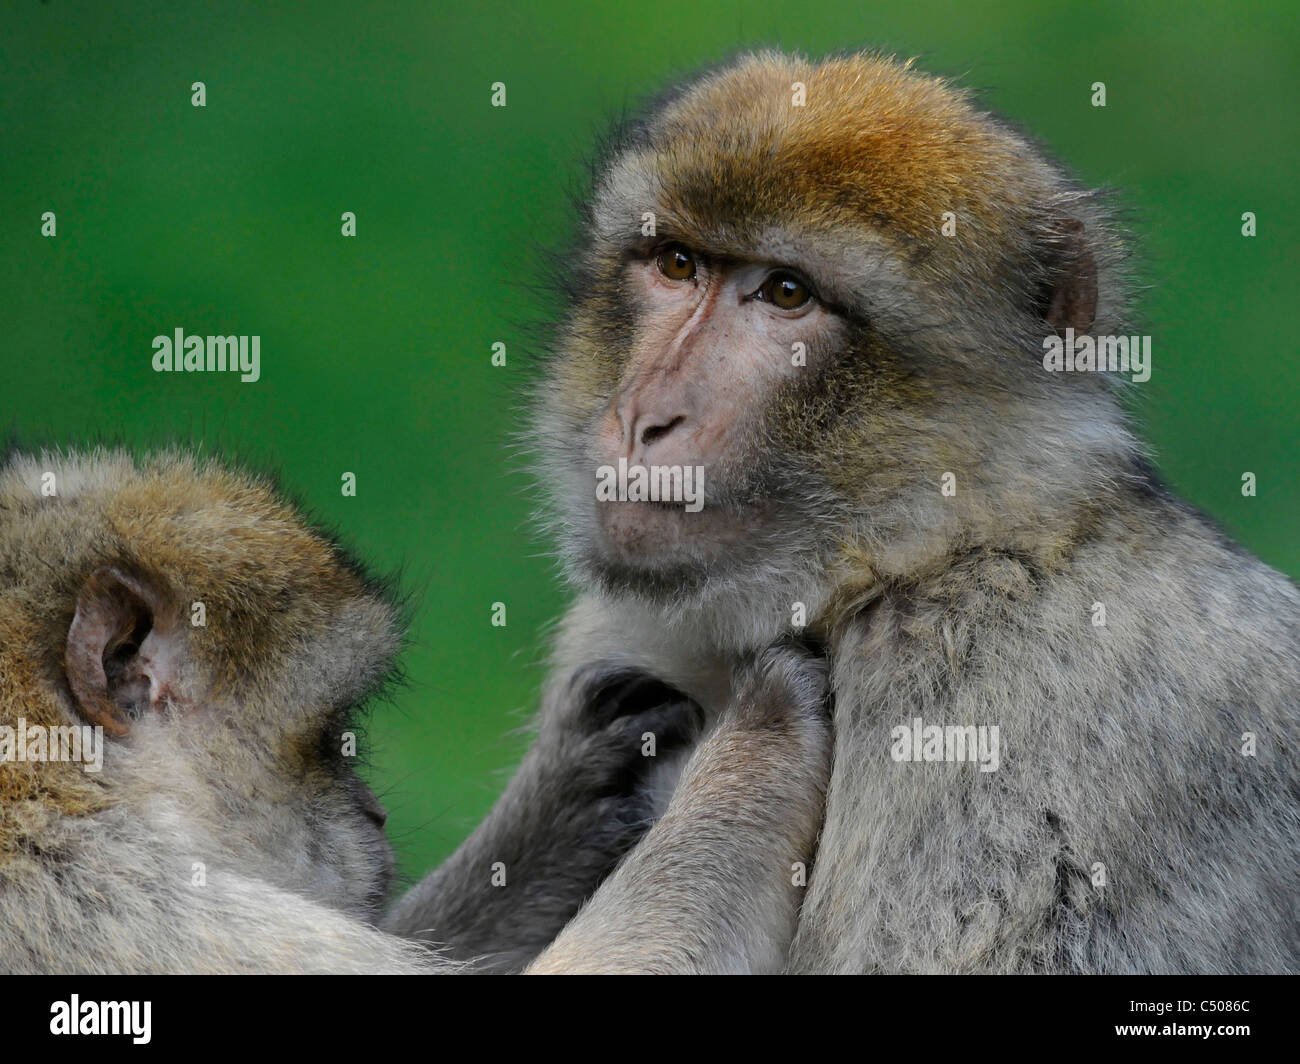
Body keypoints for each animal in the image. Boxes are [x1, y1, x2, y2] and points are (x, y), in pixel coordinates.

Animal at [0, 446, 830, 974]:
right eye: (332, 741)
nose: (374, 815)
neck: (56, 785)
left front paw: (567, 800)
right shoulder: (123, 912)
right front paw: (763, 733)